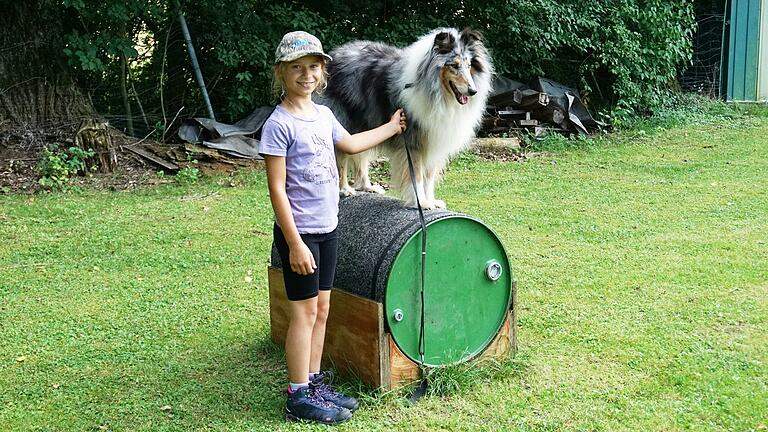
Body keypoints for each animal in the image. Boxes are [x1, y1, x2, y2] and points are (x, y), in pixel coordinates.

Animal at [320, 27, 492, 209]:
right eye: (454, 65)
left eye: (469, 65)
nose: (473, 91)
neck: (440, 96)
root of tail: (335, 54)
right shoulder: (412, 142)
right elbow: (416, 175)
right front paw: (421, 202)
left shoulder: (434, 142)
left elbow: (429, 177)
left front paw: (432, 201)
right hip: (345, 123)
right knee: (342, 158)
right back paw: (344, 189)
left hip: (365, 126)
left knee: (360, 156)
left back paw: (367, 187)